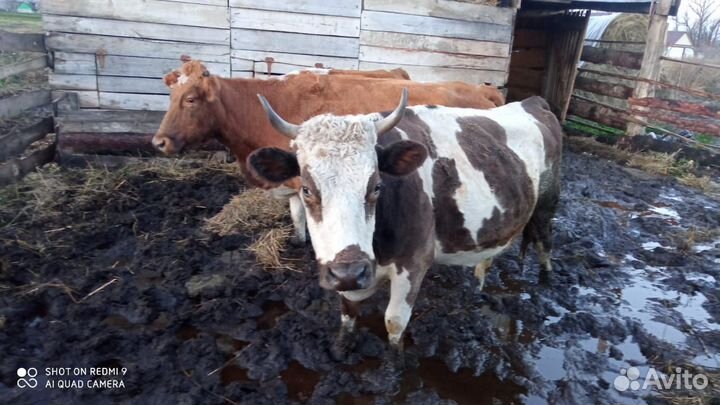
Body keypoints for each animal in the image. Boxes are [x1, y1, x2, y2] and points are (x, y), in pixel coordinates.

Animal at [151, 59, 505, 245]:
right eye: (171, 96)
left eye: (191, 99)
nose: (159, 142)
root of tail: (480, 89)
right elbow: (298, 218)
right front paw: (299, 242)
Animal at [247, 89, 563, 362]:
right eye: (307, 190)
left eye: (376, 186)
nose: (350, 272)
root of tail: (532, 102)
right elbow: (348, 310)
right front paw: (340, 347)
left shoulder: (414, 263)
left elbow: (395, 322)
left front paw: (394, 361)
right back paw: (478, 284)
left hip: (546, 205)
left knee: (545, 242)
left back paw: (547, 283)